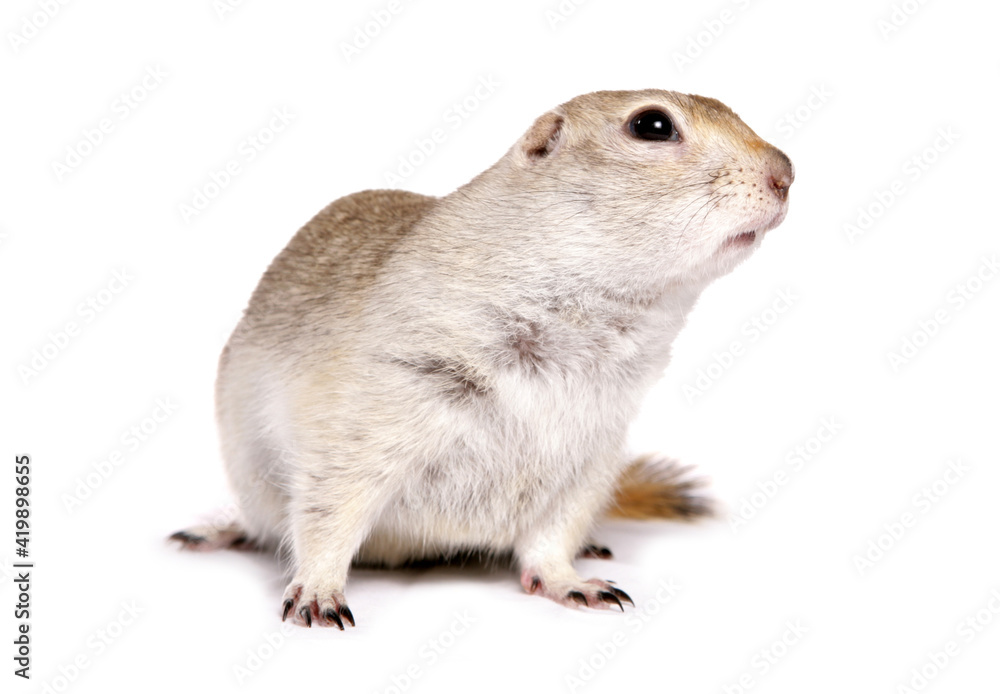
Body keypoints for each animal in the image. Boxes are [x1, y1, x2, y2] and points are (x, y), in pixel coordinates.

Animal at [171, 89, 793, 629]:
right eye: (653, 125)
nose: (787, 173)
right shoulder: (377, 397)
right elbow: (334, 499)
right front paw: (318, 595)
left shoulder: (595, 446)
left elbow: (558, 525)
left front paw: (572, 581)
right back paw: (217, 533)